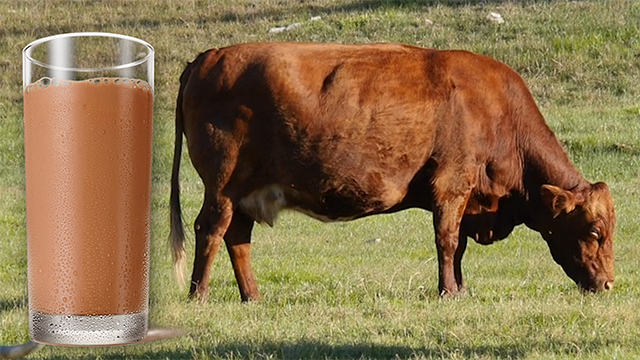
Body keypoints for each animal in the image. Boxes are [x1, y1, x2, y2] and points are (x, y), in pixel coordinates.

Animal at [170, 40, 616, 302]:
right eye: (595, 232)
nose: (610, 283)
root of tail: (208, 57)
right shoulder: (452, 186)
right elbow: (447, 242)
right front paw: (448, 291)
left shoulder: (463, 198)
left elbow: (458, 246)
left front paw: (460, 288)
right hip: (222, 186)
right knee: (210, 230)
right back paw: (198, 295)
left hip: (246, 192)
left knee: (238, 238)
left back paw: (253, 296)